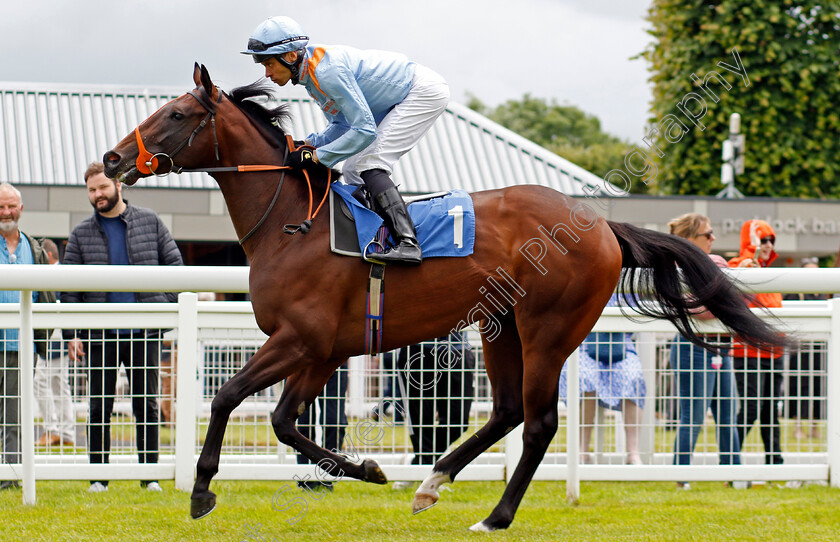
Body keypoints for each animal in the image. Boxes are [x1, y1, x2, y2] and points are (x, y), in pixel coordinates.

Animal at [101, 65, 784, 536]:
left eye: (176, 114)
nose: (111, 158)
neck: (294, 223)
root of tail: (601, 226)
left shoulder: (299, 339)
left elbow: (228, 398)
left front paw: (200, 493)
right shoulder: (323, 350)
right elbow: (284, 421)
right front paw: (369, 469)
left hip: (548, 327)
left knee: (538, 421)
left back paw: (495, 515)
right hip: (499, 324)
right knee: (506, 410)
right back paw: (431, 482)